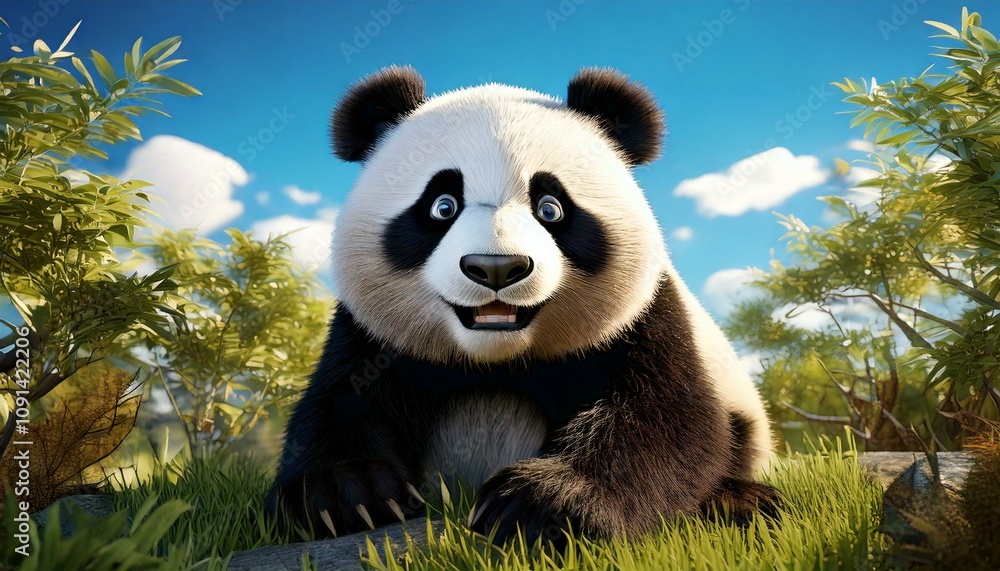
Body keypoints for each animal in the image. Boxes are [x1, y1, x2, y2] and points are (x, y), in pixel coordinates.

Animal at [265, 66, 779, 545]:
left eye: (551, 207)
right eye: (442, 205)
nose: (496, 268)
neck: (499, 360)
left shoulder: (643, 315)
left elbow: (669, 419)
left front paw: (540, 503)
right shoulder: (370, 332)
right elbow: (340, 400)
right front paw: (347, 492)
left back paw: (741, 502)